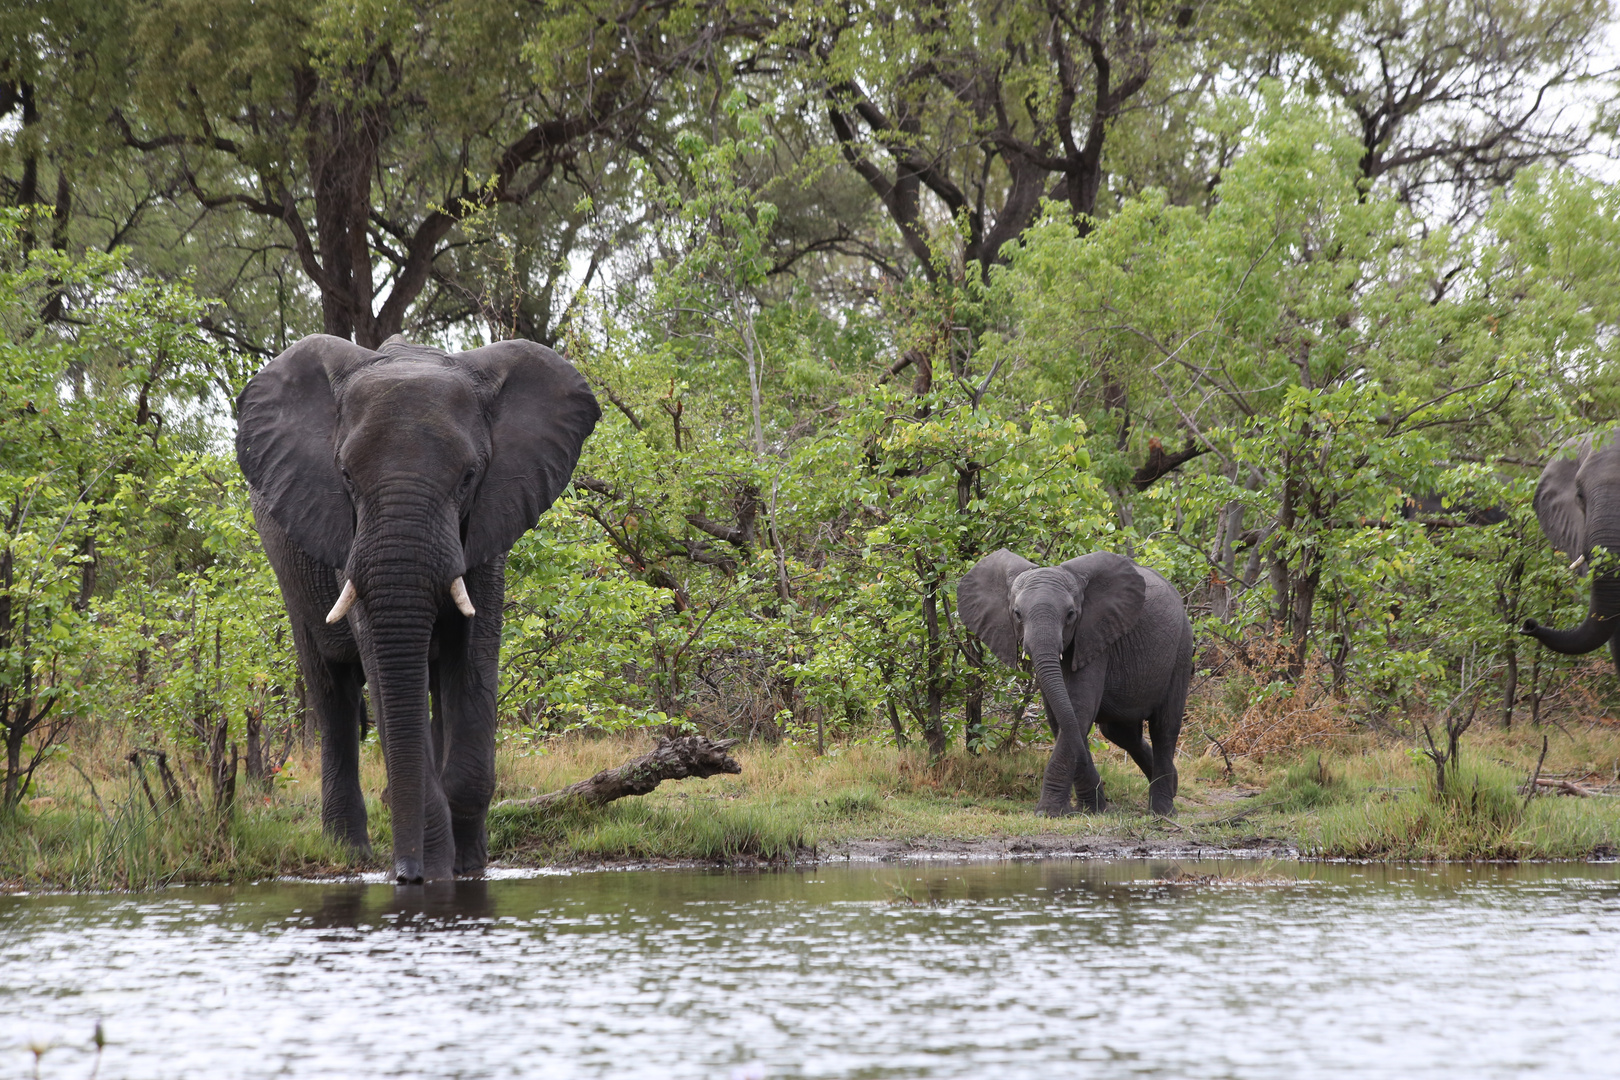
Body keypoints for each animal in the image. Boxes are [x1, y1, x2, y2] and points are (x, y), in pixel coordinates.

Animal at [236, 333, 599, 880]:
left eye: (469, 476)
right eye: (344, 475)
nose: (407, 874)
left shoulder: (488, 523)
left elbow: (473, 659)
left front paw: (467, 869)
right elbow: (384, 676)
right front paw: (431, 868)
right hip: (290, 576)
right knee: (333, 695)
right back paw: (351, 851)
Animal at [952, 544, 1198, 816]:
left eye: (1070, 615)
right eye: (1016, 614)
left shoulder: (1096, 636)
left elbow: (1078, 707)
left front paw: (1048, 813)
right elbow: (1060, 714)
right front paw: (1091, 809)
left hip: (1182, 650)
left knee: (1164, 728)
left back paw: (1163, 811)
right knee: (1121, 733)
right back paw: (1171, 786)